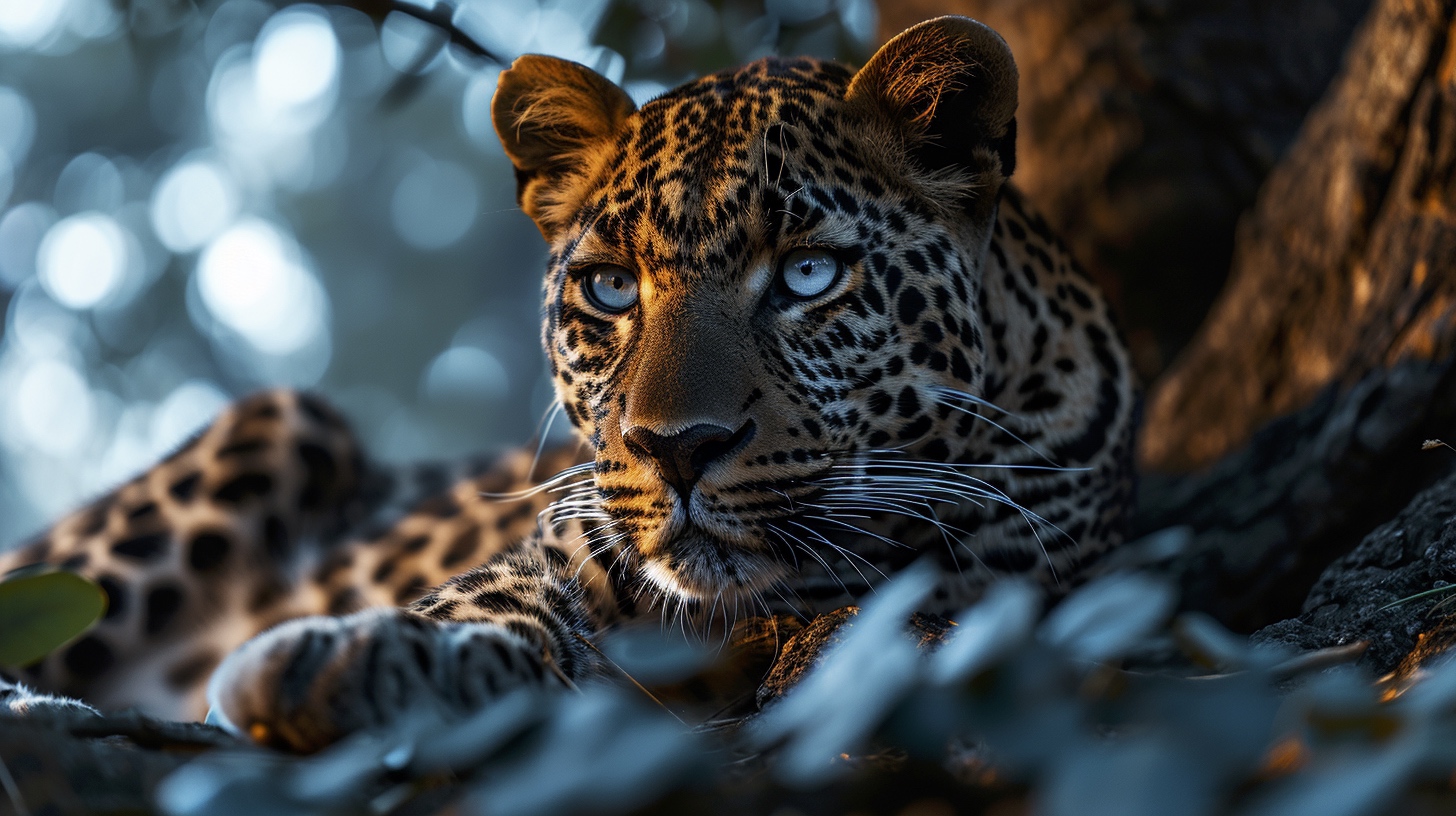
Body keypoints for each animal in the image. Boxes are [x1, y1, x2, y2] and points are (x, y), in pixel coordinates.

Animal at [0, 16, 1135, 751]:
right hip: (274, 431)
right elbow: (490, 611)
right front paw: (358, 661)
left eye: (809, 275)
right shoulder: (558, 557)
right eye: (610, 287)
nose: (678, 449)